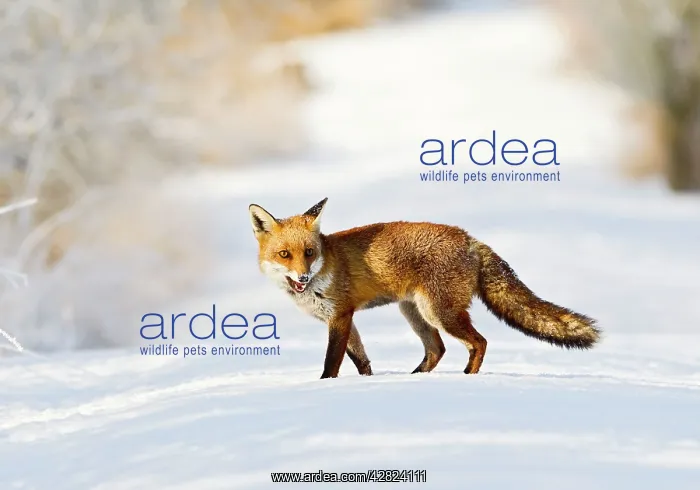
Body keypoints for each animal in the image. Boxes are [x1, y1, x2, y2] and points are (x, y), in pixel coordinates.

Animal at [249, 197, 600, 379]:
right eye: (285, 254)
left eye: (309, 252)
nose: (302, 278)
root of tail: (471, 240)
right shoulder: (342, 318)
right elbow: (361, 360)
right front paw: (366, 384)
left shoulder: (340, 316)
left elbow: (331, 361)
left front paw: (326, 385)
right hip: (414, 312)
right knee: (437, 349)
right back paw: (416, 378)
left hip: (439, 312)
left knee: (479, 342)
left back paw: (466, 377)